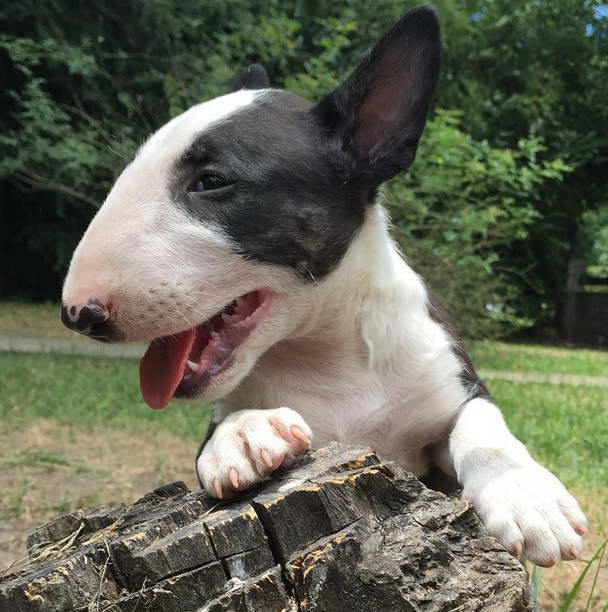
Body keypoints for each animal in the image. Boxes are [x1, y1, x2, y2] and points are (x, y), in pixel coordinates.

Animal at [61, 5, 584, 568]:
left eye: (212, 180)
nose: (78, 313)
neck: (326, 352)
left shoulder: (453, 388)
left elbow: (482, 425)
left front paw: (529, 500)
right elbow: (218, 428)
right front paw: (245, 431)